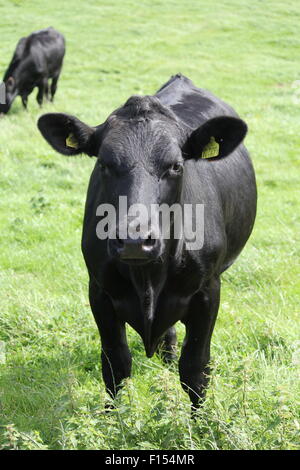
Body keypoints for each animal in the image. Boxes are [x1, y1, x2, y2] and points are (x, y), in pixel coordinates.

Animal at [38, 72, 258, 412]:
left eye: (176, 165)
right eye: (103, 164)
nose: (134, 241)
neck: (147, 279)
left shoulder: (209, 291)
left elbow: (196, 368)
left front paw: (201, 423)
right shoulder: (99, 290)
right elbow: (115, 364)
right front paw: (113, 419)